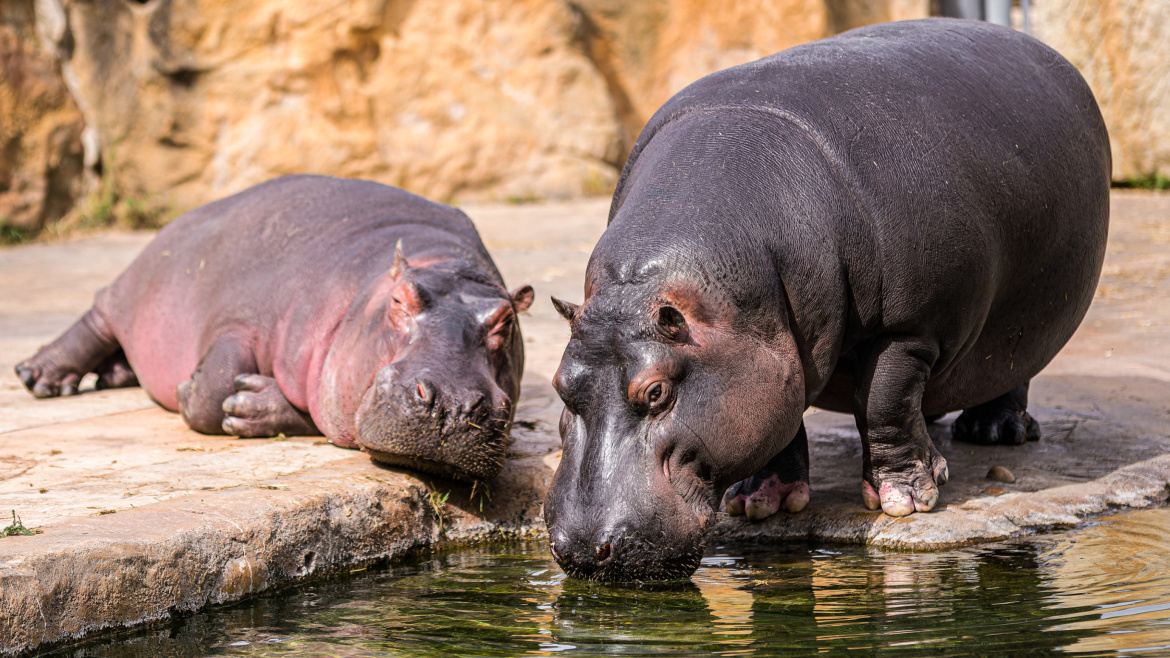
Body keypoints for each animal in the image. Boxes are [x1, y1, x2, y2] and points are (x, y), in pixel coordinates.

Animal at [16, 173, 535, 482]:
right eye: (399, 300)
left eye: (506, 321)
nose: (450, 403)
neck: (440, 261)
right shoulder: (247, 315)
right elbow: (211, 390)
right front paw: (192, 389)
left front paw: (248, 407)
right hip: (132, 288)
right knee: (95, 319)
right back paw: (40, 377)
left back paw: (116, 375)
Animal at [542, 16, 1109, 578]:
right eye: (559, 386)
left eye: (657, 392)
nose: (583, 548)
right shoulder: (775, 350)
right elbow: (784, 417)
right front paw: (763, 501)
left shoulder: (911, 327)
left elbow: (882, 401)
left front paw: (906, 500)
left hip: (1028, 317)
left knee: (1008, 367)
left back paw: (993, 431)